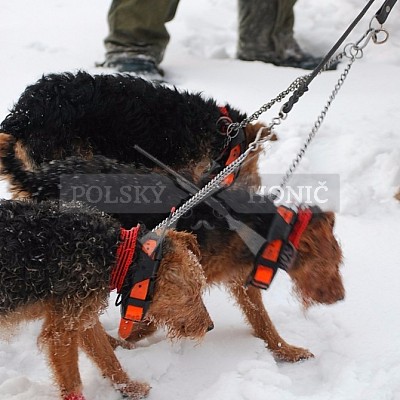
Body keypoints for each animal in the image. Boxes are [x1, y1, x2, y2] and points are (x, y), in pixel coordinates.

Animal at [0, 200, 212, 400]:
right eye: (193, 292)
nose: (210, 326)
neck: (116, 255)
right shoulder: (62, 330)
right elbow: (73, 381)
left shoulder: (82, 315)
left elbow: (107, 357)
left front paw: (130, 388)